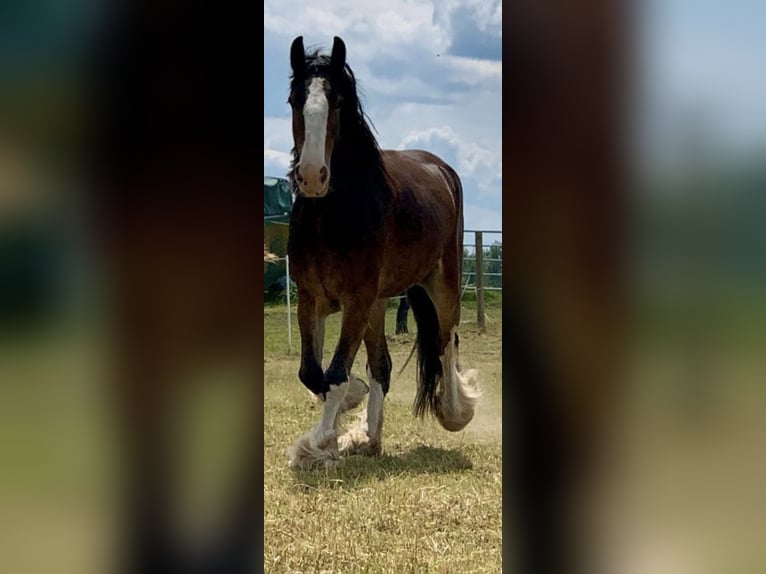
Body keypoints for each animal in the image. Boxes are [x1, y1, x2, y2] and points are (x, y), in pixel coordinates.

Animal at [285, 36, 481, 469]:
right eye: (293, 99)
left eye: (338, 101)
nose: (312, 176)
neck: (331, 215)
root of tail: (441, 168)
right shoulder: (312, 299)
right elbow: (312, 373)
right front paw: (344, 422)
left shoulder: (356, 299)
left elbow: (335, 375)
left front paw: (316, 443)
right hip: (377, 304)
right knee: (383, 365)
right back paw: (369, 438)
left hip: (441, 284)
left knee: (446, 341)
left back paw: (455, 410)